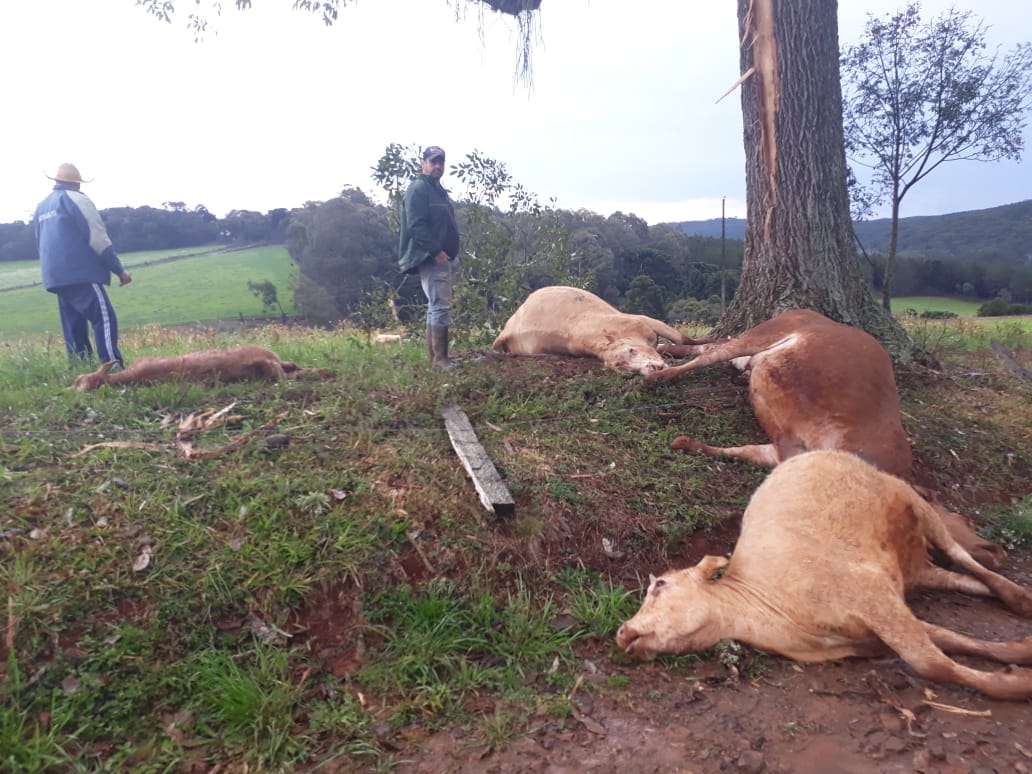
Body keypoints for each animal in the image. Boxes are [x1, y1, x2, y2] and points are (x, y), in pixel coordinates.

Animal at [615, 454, 1032, 701]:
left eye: (660, 585)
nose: (622, 631)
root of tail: (810, 452)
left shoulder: (872, 595)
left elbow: (932, 662)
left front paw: (1016, 685)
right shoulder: (869, 635)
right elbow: (951, 639)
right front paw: (1019, 654)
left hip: (910, 498)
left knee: (962, 556)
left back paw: (1019, 597)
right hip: (914, 569)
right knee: (958, 579)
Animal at [643, 309, 1007, 569]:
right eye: (962, 519)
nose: (996, 552)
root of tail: (809, 312)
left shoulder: (784, 449)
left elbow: (742, 451)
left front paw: (686, 443)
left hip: (755, 352)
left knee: (715, 346)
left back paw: (668, 348)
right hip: (765, 332)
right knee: (714, 350)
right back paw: (660, 372)